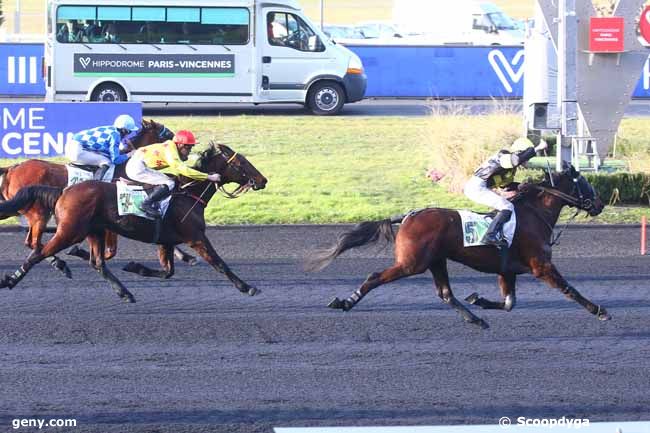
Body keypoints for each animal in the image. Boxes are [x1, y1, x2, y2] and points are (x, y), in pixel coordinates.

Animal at [0, 119, 195, 274]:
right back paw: (59, 263)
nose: (182, 151)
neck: (124, 168)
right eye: (166, 133)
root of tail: (12, 168)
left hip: (21, 209)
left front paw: (186, 255)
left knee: (31, 242)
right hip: (39, 214)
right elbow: (111, 251)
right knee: (34, 242)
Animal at [0, 143, 266, 302]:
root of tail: (64, 191)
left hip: (93, 230)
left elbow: (167, 271)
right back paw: (12, 279)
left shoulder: (165, 240)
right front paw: (247, 287)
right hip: (68, 230)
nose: (262, 180)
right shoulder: (195, 236)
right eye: (241, 163)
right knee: (37, 251)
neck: (187, 194)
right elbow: (219, 263)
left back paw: (125, 293)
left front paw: (135, 267)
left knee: (97, 263)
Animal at [306, 164, 604, 330]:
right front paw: (599, 311)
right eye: (585, 183)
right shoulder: (541, 266)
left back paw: (476, 319)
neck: (533, 214)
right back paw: (345, 302)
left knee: (446, 293)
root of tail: (408, 216)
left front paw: (479, 300)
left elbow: (509, 303)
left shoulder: (507, 270)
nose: (599, 204)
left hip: (436, 261)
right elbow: (570, 289)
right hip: (412, 263)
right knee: (375, 276)